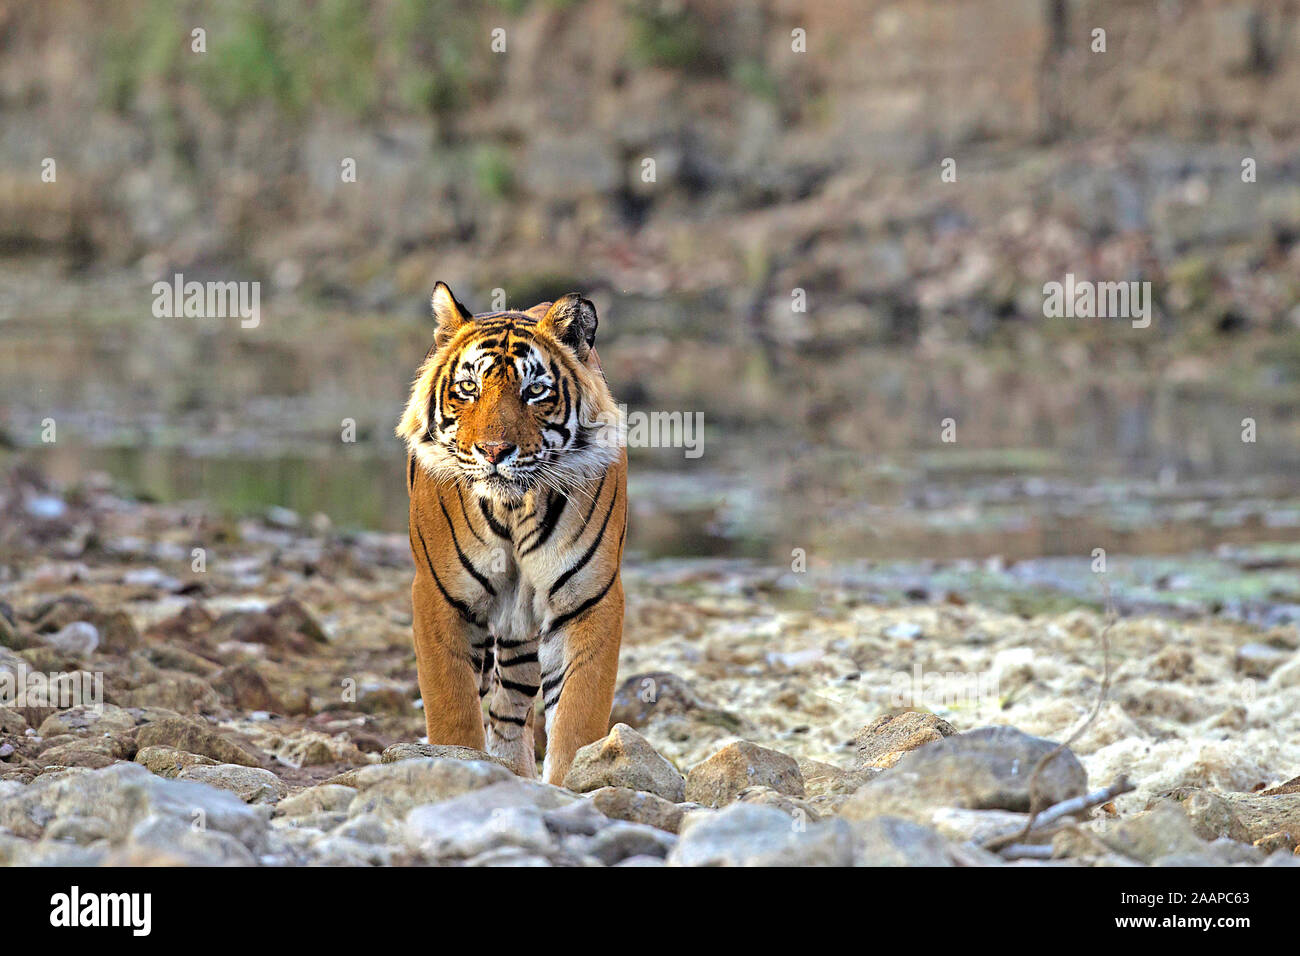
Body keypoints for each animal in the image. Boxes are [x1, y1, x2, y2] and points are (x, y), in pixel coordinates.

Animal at [392, 282, 626, 785]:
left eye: (535, 390)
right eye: (468, 388)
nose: (495, 450)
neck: (514, 509)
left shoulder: (589, 598)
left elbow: (578, 714)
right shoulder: (440, 596)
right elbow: (453, 708)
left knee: (511, 703)